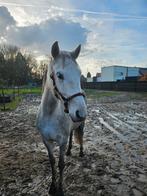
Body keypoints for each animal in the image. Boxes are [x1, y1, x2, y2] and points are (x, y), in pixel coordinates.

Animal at [36, 41, 86, 196]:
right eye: (59, 75)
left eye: (79, 74)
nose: (81, 113)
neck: (50, 114)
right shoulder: (46, 141)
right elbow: (52, 161)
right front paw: (52, 187)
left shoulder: (61, 142)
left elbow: (61, 164)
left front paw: (60, 189)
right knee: (71, 135)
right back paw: (70, 150)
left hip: (82, 126)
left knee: (81, 136)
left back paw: (81, 152)